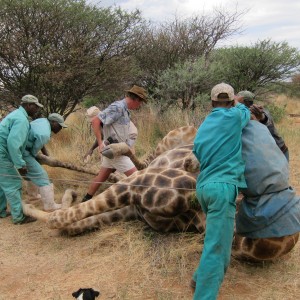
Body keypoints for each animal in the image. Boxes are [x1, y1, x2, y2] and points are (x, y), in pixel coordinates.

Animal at [24, 125, 300, 262]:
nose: (191, 163)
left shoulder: (135, 198)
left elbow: (63, 222)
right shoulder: (134, 200)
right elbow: (69, 221)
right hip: (162, 152)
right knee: (136, 160)